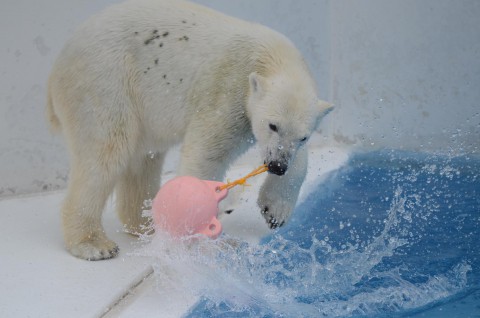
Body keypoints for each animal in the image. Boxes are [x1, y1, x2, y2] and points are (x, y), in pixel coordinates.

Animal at [48, 0, 334, 260]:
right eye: (272, 125)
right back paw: (94, 244)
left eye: (303, 136)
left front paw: (275, 211)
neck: (269, 55)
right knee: (106, 152)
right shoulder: (227, 92)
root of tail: (57, 65)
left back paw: (148, 223)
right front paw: (202, 235)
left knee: (144, 160)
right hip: (106, 80)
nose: (276, 165)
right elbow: (206, 154)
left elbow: (299, 160)